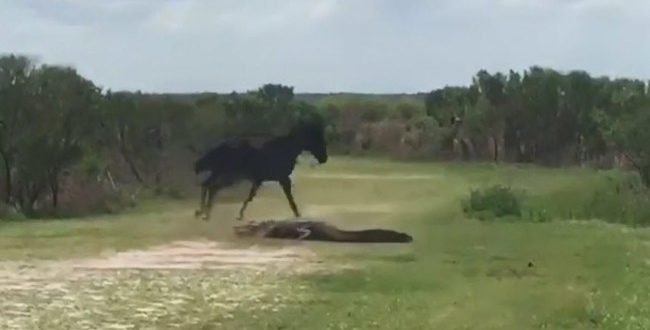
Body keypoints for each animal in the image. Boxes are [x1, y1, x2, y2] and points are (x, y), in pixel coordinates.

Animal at [191, 120, 324, 220]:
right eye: (316, 138)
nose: (324, 158)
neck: (286, 149)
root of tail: (220, 148)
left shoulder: (260, 179)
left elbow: (250, 196)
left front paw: (240, 215)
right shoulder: (283, 178)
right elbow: (289, 198)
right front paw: (298, 215)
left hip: (223, 175)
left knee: (209, 186)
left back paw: (203, 212)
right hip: (229, 176)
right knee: (211, 187)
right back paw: (204, 213)